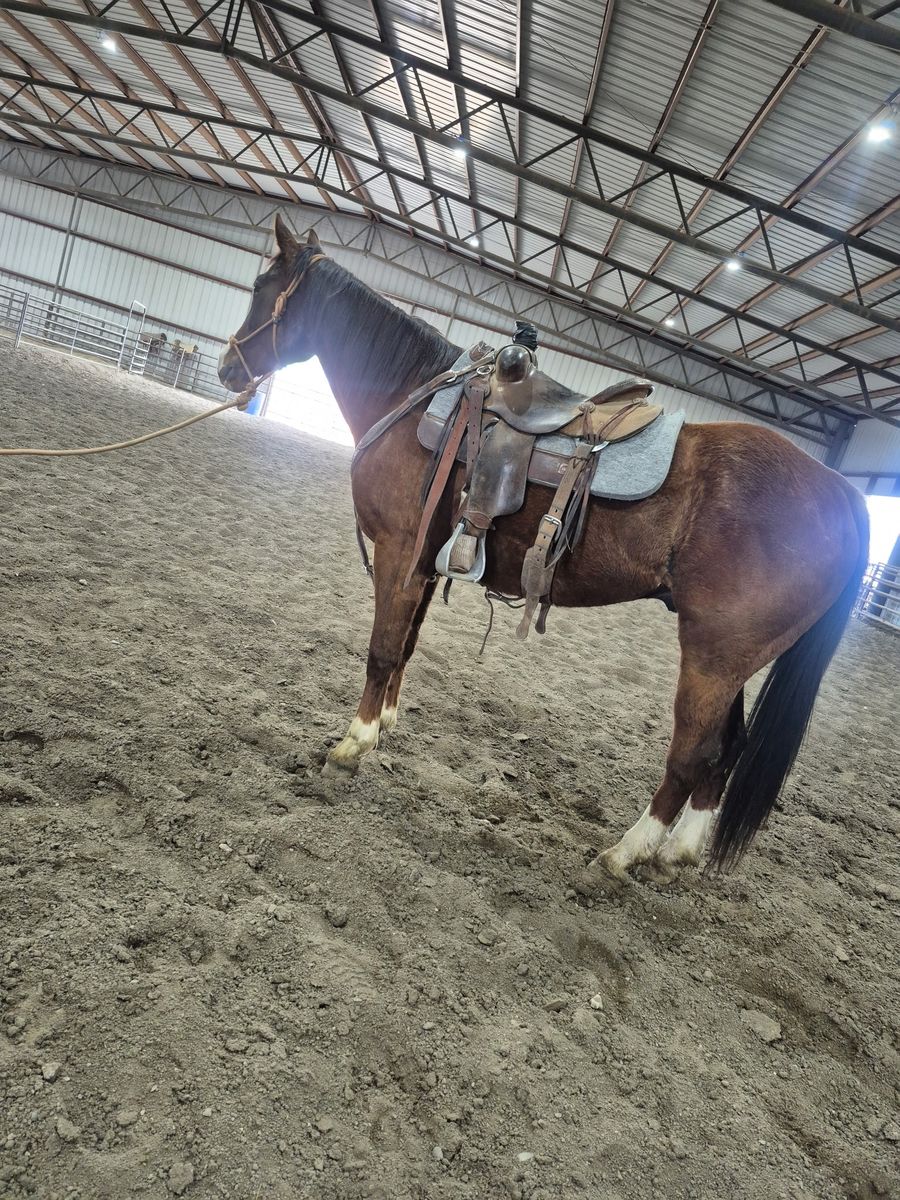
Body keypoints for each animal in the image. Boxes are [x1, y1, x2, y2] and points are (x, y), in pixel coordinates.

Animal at [218, 217, 869, 881]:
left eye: (262, 287)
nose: (227, 368)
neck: (416, 399)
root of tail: (842, 494)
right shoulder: (423, 561)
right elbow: (406, 646)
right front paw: (387, 725)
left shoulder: (399, 554)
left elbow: (381, 650)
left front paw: (354, 744)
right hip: (736, 659)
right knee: (725, 750)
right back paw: (678, 851)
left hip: (713, 656)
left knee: (694, 753)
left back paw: (624, 852)